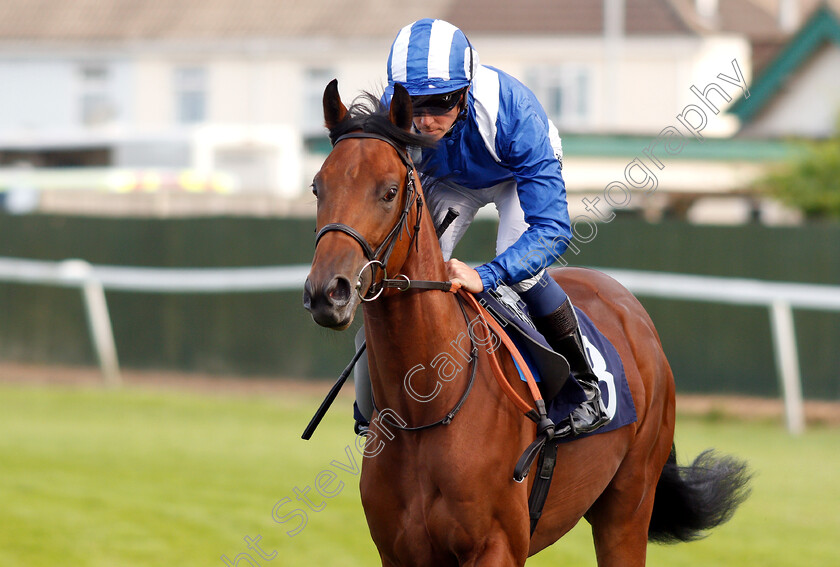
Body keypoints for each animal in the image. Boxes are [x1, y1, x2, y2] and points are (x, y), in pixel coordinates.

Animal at [306, 81, 752, 567]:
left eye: (388, 192)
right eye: (317, 187)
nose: (328, 292)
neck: (427, 409)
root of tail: (631, 310)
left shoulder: (498, 546)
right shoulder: (398, 552)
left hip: (628, 508)